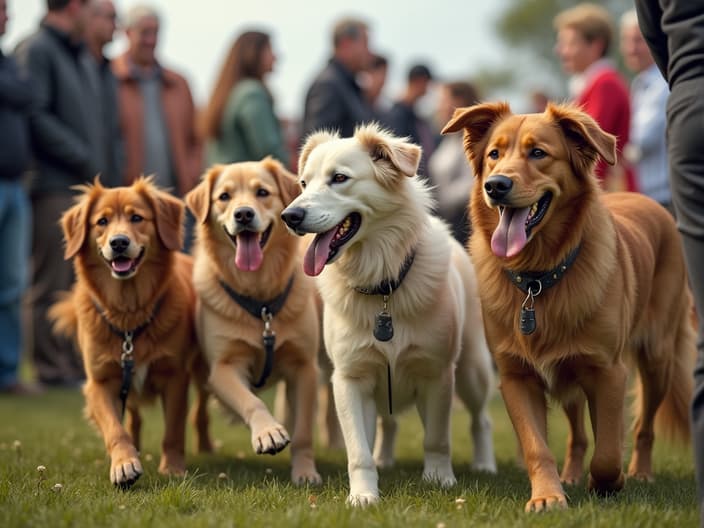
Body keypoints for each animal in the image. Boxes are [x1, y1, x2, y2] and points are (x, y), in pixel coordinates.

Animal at [49, 179, 210, 488]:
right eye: (102, 222)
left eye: (137, 218)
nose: (119, 242)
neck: (129, 316)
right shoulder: (100, 382)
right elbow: (116, 429)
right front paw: (124, 463)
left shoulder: (175, 377)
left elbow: (173, 430)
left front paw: (173, 468)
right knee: (133, 419)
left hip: (202, 370)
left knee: (200, 411)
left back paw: (206, 447)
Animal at [184, 156, 322, 482]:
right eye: (224, 197)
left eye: (262, 192)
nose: (244, 214)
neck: (261, 304)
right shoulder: (223, 367)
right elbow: (252, 400)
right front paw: (268, 433)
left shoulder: (304, 367)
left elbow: (303, 432)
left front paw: (304, 470)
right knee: (199, 412)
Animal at [280, 125, 496, 508]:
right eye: (303, 183)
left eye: (339, 178)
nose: (289, 217)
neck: (382, 284)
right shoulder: (350, 378)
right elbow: (358, 451)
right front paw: (364, 494)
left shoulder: (436, 373)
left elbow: (437, 439)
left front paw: (439, 480)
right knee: (388, 423)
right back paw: (385, 459)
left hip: (472, 369)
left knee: (481, 420)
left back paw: (485, 465)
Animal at [442, 102, 696, 512]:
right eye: (494, 154)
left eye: (538, 153)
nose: (495, 185)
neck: (538, 277)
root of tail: (645, 199)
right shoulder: (517, 377)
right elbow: (537, 447)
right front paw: (548, 495)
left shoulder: (608, 372)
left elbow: (608, 452)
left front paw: (610, 482)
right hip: (567, 376)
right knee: (578, 435)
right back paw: (572, 475)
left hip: (658, 359)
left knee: (643, 426)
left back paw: (640, 472)